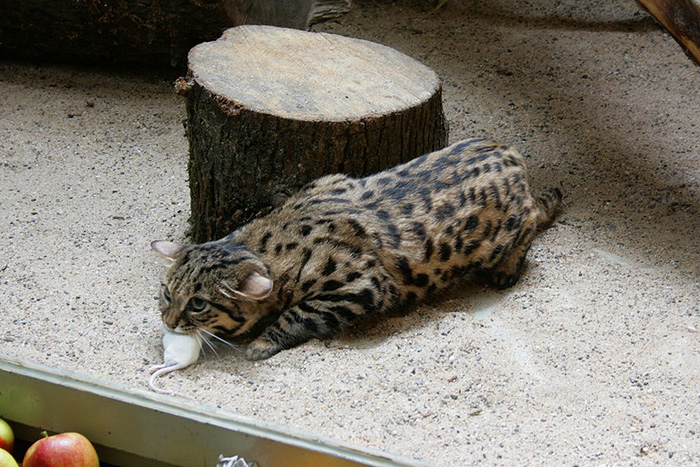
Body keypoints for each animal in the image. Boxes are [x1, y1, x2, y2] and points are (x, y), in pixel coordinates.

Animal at [150, 137, 560, 360]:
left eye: (198, 304)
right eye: (166, 292)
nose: (168, 321)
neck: (266, 239)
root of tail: (510, 152)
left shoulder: (362, 285)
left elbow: (297, 315)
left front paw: (263, 342)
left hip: (499, 235)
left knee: (531, 219)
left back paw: (507, 267)